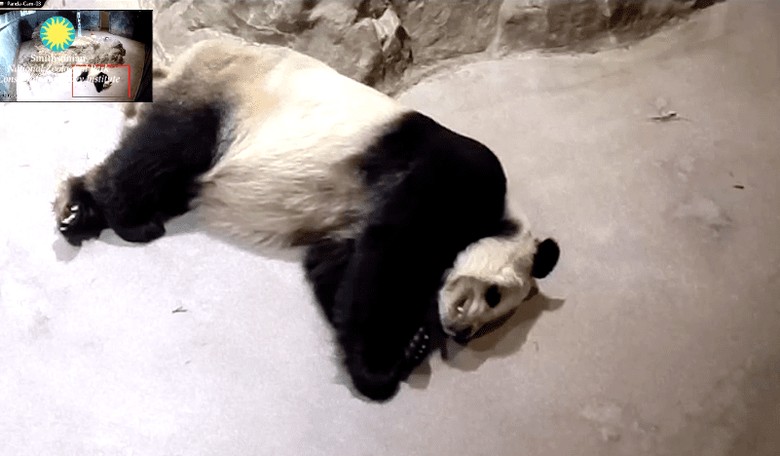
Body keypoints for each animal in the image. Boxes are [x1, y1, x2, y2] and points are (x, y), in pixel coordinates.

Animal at [53, 38, 560, 401]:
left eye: (494, 316)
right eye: (493, 296)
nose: (462, 332)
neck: (498, 216)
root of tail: (181, 59)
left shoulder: (351, 229)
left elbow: (335, 269)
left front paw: (399, 347)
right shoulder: (455, 177)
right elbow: (390, 254)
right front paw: (390, 363)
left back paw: (82, 210)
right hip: (225, 92)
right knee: (166, 149)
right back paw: (119, 215)